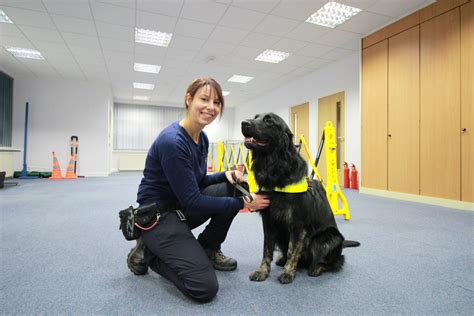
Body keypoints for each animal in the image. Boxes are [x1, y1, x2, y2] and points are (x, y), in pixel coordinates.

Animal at [241, 111, 360, 284]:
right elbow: (266, 250)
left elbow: (292, 250)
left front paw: (288, 273)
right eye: (256, 117)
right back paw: (283, 260)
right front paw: (262, 271)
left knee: (333, 262)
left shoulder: (297, 224)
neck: (275, 166)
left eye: (269, 121)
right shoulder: (269, 222)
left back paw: (316, 268)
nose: (244, 123)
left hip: (327, 238)